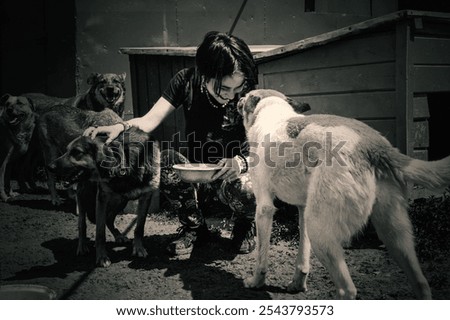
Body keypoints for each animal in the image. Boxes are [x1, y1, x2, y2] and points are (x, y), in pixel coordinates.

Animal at [47, 127, 160, 268]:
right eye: (67, 150)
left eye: (77, 152)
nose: (49, 167)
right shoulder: (102, 199)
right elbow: (100, 233)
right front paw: (102, 257)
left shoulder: (146, 196)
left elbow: (139, 227)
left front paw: (138, 248)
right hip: (84, 196)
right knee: (82, 223)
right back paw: (82, 246)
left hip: (120, 201)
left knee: (109, 219)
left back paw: (119, 236)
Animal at [236, 89, 450, 298]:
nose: (238, 99)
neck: (271, 109)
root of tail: (376, 146)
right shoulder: (303, 209)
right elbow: (303, 257)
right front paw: (297, 284)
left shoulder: (264, 208)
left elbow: (261, 258)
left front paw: (256, 283)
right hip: (394, 235)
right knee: (421, 284)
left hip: (320, 231)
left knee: (347, 290)